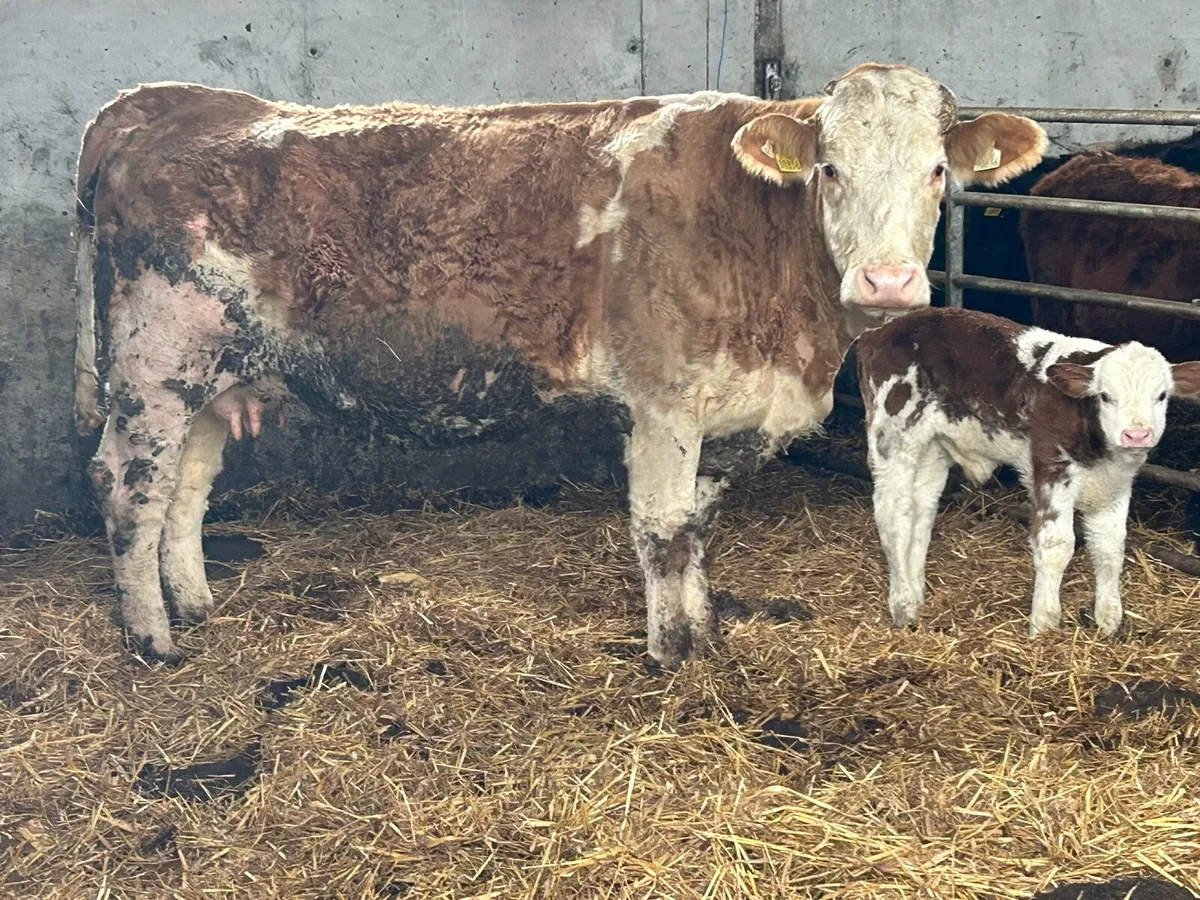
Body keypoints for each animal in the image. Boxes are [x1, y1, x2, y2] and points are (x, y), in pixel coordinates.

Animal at [73, 63, 1046, 667]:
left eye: (937, 171)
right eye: (831, 169)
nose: (889, 281)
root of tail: (166, 102)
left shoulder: (728, 414)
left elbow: (697, 526)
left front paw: (702, 632)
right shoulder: (661, 400)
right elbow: (661, 530)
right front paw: (669, 655)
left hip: (213, 376)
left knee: (186, 488)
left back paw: (195, 605)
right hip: (155, 361)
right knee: (130, 487)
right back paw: (154, 642)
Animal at [857, 307, 1200, 637]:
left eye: (1161, 396)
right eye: (1106, 396)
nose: (1137, 434)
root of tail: (877, 332)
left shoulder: (1115, 485)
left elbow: (1110, 547)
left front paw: (1108, 621)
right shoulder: (1050, 469)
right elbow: (1057, 545)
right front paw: (1044, 624)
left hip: (932, 450)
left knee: (920, 514)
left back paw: (915, 594)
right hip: (893, 439)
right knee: (893, 517)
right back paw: (903, 606)